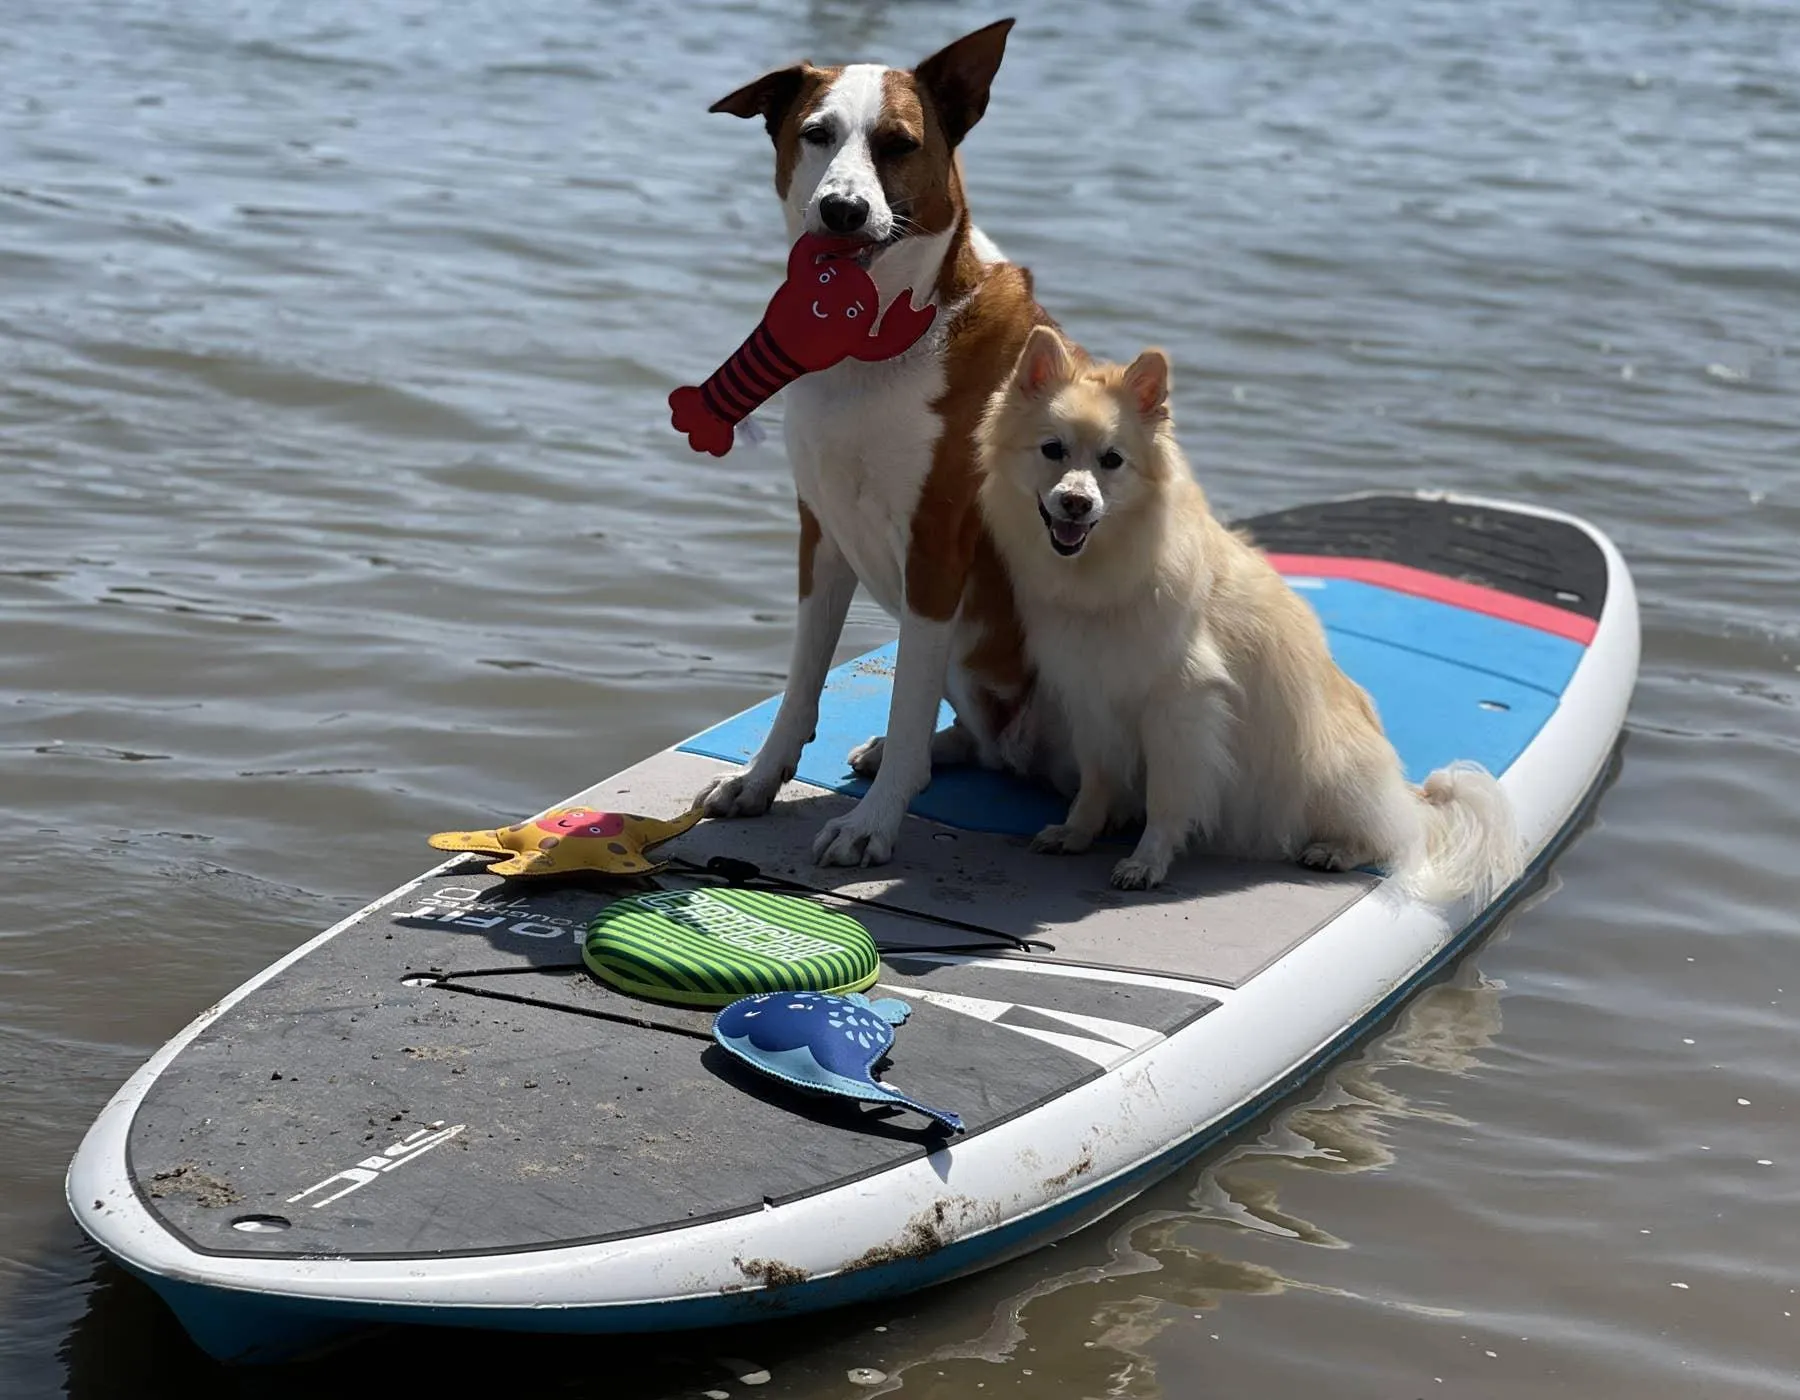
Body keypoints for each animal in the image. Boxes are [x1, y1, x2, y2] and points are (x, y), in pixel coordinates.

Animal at [694, 19, 1065, 860]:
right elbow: (802, 679)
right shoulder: (822, 530)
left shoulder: (936, 547)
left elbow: (905, 695)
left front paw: (872, 827)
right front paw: (760, 780)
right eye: (816, 133)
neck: (872, 341)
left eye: (898, 144)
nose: (840, 210)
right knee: (974, 741)